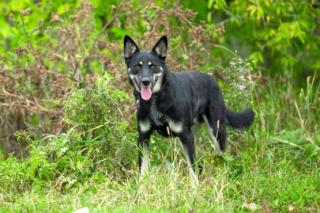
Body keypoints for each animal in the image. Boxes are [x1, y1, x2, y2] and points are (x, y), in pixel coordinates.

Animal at [122, 35, 255, 186]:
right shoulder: (143, 137)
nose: (146, 81)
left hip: (215, 132)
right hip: (186, 138)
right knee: (200, 164)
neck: (157, 99)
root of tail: (213, 81)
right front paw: (141, 189)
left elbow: (192, 168)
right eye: (137, 66)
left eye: (152, 66)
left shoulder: (186, 136)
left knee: (221, 159)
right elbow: (143, 170)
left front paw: (195, 189)